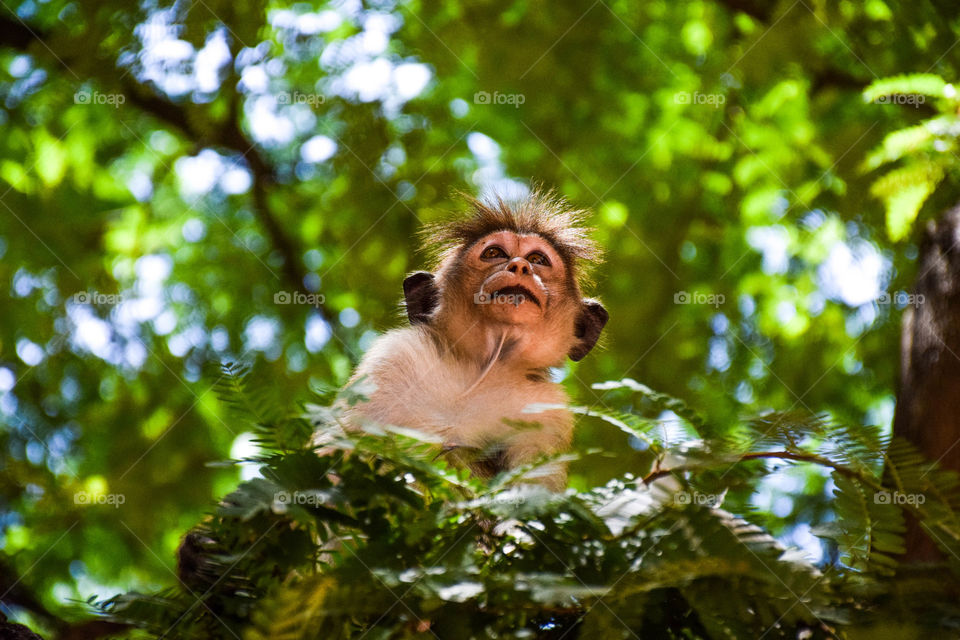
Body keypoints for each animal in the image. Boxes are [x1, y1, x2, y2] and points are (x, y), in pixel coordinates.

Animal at [334, 191, 608, 491]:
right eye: (494, 253)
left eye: (538, 259)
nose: (520, 265)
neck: (482, 371)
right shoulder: (394, 356)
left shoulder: (549, 411)